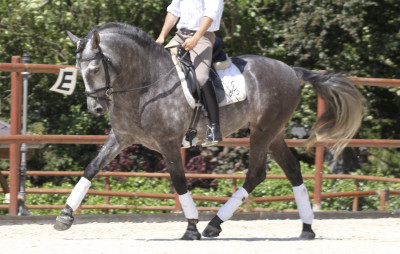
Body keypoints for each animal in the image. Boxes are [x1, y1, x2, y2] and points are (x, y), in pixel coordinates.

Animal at [54, 22, 368, 240]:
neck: (144, 84)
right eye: (79, 69)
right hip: (274, 133)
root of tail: (290, 69)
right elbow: (91, 168)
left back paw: (213, 225)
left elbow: (179, 182)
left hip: (262, 131)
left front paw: (191, 228)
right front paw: (65, 216)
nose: (96, 107)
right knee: (292, 171)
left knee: (256, 174)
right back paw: (306, 228)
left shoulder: (168, 143)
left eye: (95, 68)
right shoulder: (121, 137)